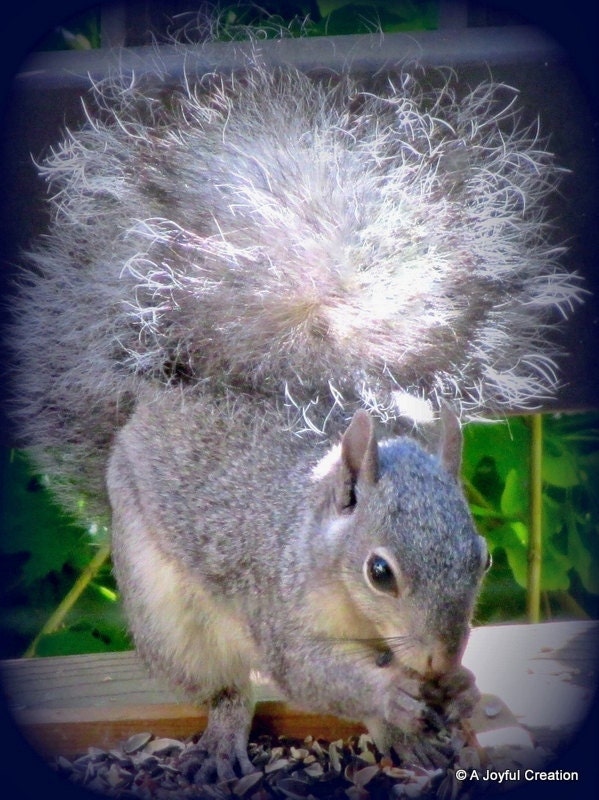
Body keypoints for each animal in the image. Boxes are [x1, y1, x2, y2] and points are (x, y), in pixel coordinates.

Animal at [7, 50, 584, 781]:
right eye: (379, 572)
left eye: (482, 558)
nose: (438, 657)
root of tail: (144, 414)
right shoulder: (279, 604)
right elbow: (307, 672)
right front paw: (390, 696)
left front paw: (459, 691)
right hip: (169, 617)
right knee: (227, 687)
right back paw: (230, 736)